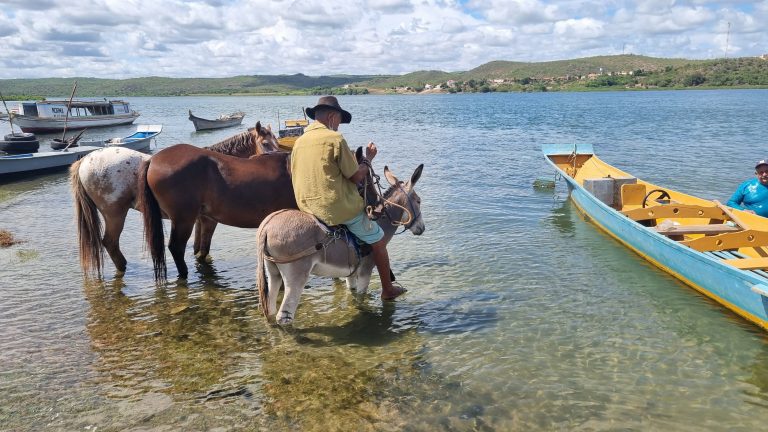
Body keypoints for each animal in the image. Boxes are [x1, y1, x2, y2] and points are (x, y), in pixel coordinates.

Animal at [69, 121, 280, 278]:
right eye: (265, 143)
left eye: (276, 142)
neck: (218, 167)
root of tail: (85, 161)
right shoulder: (206, 220)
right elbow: (202, 248)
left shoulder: (199, 220)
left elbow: (197, 248)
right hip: (115, 214)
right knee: (110, 243)